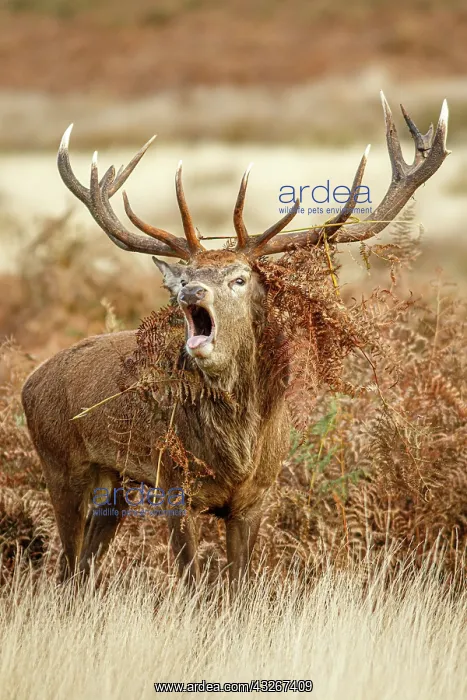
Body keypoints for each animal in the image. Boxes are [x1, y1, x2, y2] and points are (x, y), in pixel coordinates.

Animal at [22, 93, 449, 587]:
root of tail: (27, 383)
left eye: (239, 278)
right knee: (66, 568)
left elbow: (239, 587)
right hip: (60, 464)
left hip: (116, 482)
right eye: (187, 274)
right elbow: (192, 581)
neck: (237, 454)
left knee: (83, 569)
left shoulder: (255, 498)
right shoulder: (174, 484)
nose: (190, 291)